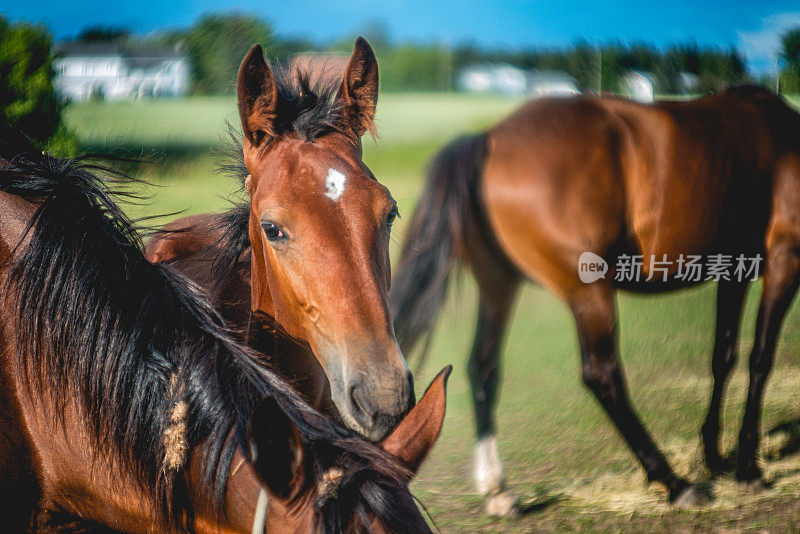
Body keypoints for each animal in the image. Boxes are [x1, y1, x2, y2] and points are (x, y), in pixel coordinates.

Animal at [390, 86, 800, 512]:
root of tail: (488, 140)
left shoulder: (735, 269)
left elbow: (724, 357)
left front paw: (716, 455)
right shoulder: (786, 257)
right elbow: (760, 359)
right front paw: (748, 468)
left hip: (498, 283)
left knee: (483, 367)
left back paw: (498, 490)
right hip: (589, 289)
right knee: (602, 374)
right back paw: (674, 481)